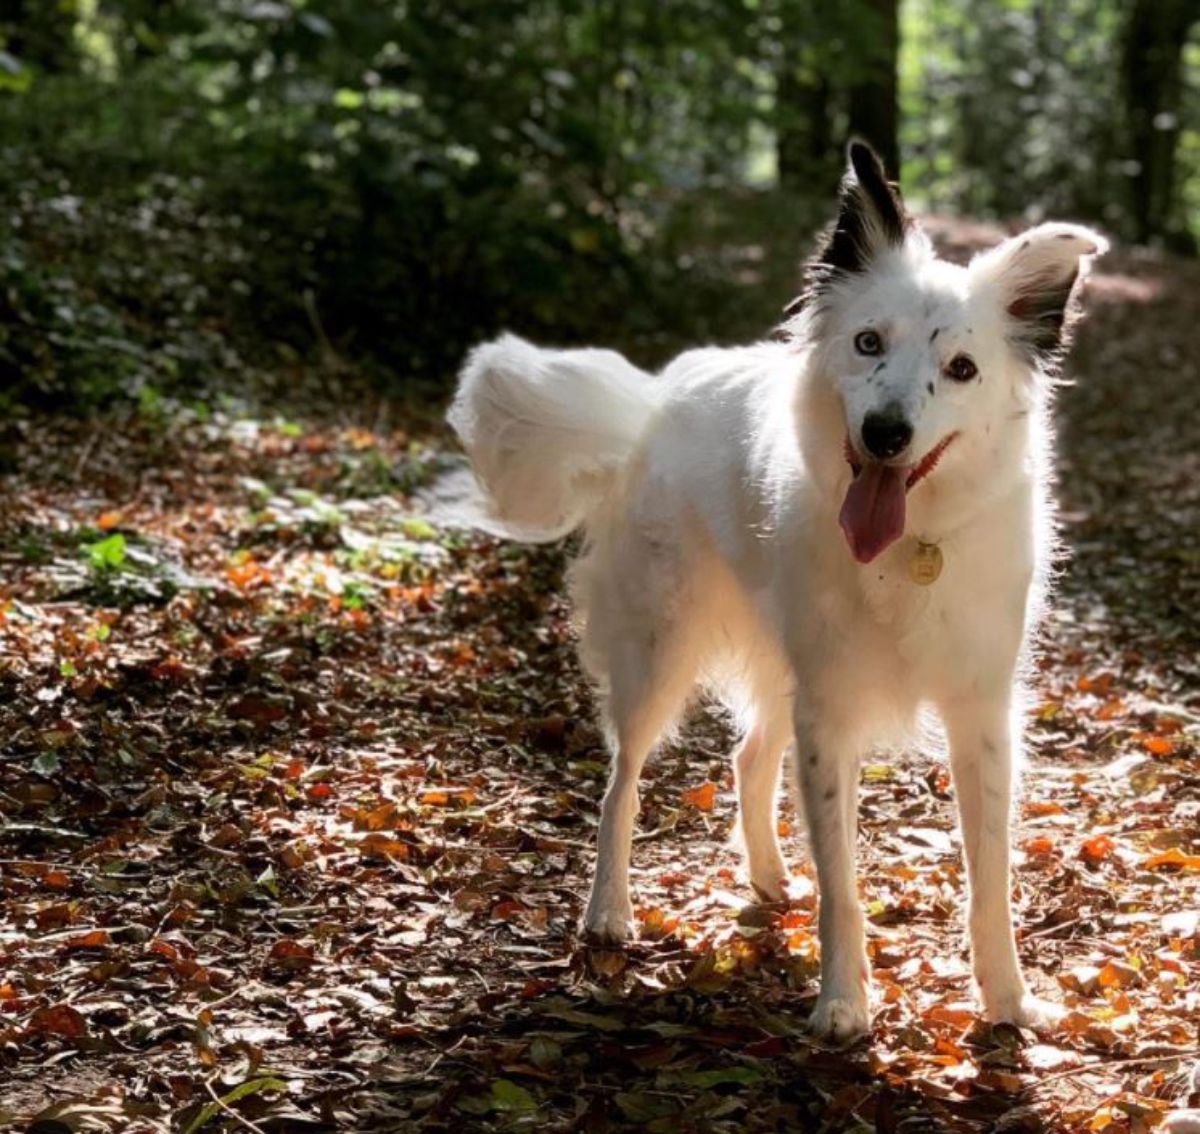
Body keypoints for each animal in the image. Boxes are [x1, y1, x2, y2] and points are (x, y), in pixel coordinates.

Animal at [448, 144, 1104, 1046]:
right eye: (867, 343)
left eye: (961, 369)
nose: (886, 434)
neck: (910, 543)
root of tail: (659, 399)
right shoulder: (830, 711)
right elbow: (844, 885)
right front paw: (843, 1004)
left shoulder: (980, 714)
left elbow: (989, 879)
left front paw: (1007, 1002)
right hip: (660, 652)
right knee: (623, 781)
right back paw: (608, 912)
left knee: (748, 754)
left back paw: (765, 876)